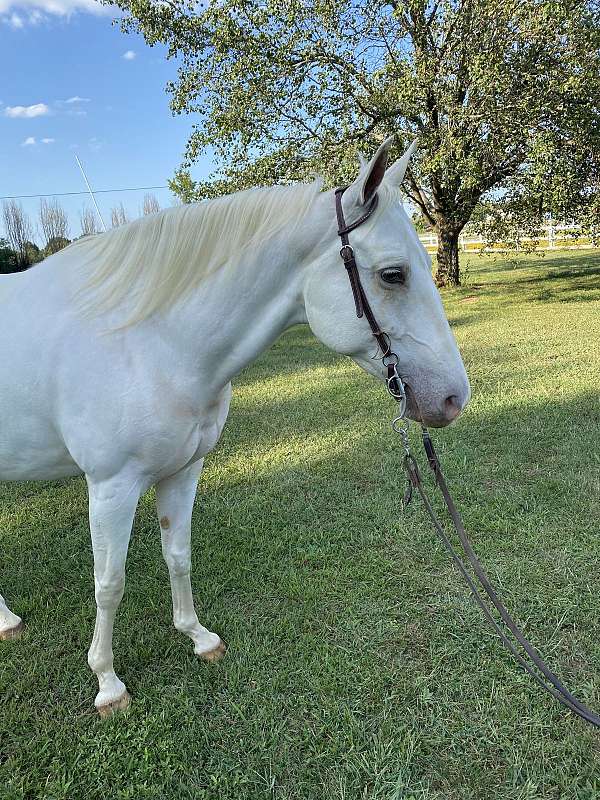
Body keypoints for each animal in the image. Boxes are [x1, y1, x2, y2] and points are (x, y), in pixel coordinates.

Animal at [0, 138, 468, 712]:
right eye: (393, 274)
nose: (453, 397)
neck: (150, 341)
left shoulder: (183, 471)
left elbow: (177, 555)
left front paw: (198, 637)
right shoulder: (111, 487)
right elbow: (109, 583)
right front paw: (107, 682)